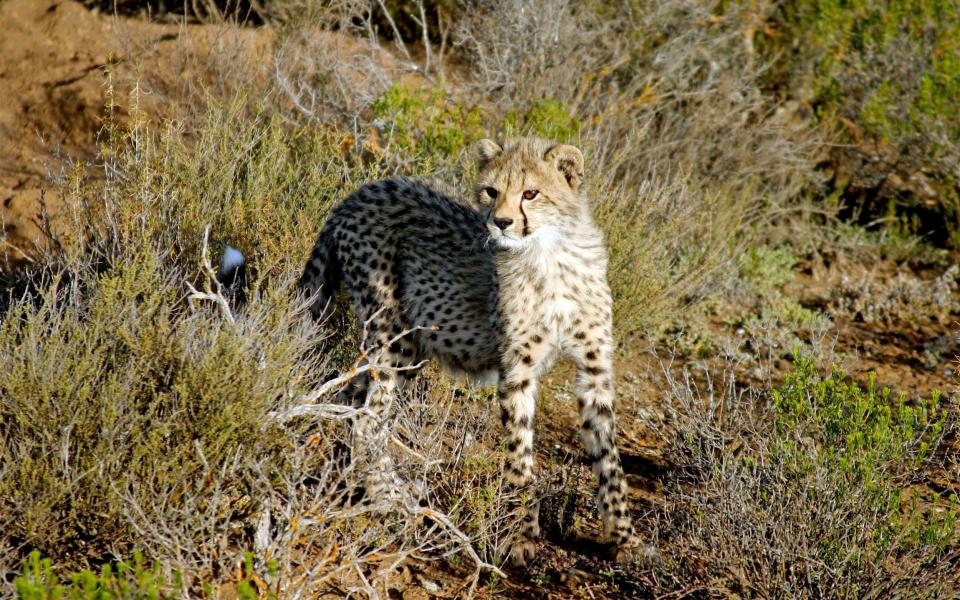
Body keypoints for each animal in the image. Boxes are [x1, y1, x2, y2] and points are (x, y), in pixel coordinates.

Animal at [294, 136, 636, 568]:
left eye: (530, 193)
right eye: (491, 191)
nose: (501, 223)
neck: (548, 252)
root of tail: (360, 192)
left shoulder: (595, 369)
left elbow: (609, 458)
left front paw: (625, 538)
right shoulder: (517, 369)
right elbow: (521, 457)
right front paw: (521, 537)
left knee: (352, 400)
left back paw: (347, 481)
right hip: (394, 334)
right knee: (370, 417)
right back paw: (390, 497)